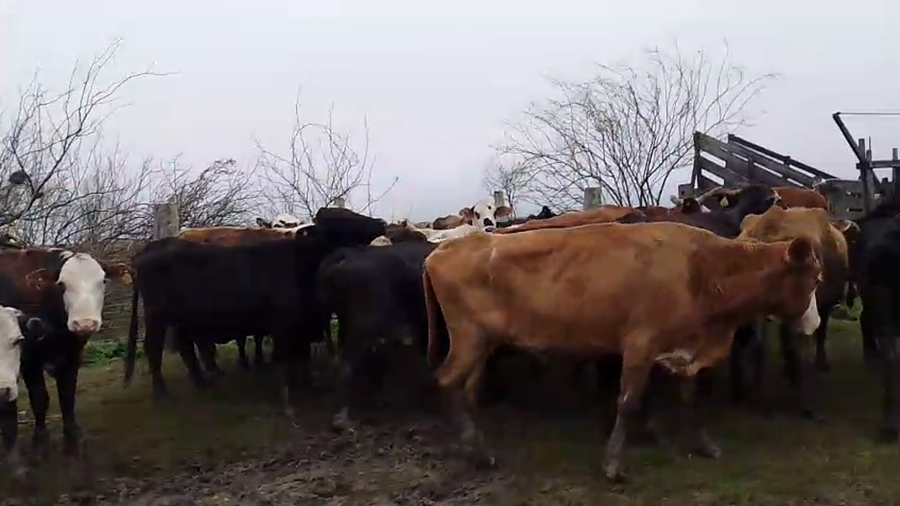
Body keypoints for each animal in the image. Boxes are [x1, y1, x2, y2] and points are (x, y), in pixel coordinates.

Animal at [0, 248, 132, 459]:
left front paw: (72, 440)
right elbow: (39, 398)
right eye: (61, 284)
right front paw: (40, 442)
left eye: (103, 281)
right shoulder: (29, 359)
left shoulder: (72, 356)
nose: (85, 323)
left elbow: (67, 397)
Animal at [124, 208, 386, 411]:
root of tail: (149, 249)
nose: (381, 222)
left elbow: (302, 356)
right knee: (154, 348)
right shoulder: (285, 324)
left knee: (186, 348)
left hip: (183, 320)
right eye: (341, 220)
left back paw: (203, 383)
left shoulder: (302, 323)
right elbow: (290, 358)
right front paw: (294, 392)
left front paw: (308, 386)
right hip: (157, 316)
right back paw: (162, 393)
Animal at [422, 222, 822, 481]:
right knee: (445, 381)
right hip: (468, 339)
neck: (703, 269)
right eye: (814, 279)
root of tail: (445, 248)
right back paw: (475, 448)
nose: (814, 324)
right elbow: (628, 403)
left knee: (467, 391)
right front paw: (613, 464)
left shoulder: (684, 350)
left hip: (480, 344)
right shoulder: (640, 345)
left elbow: (690, 399)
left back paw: (476, 448)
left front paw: (704, 445)